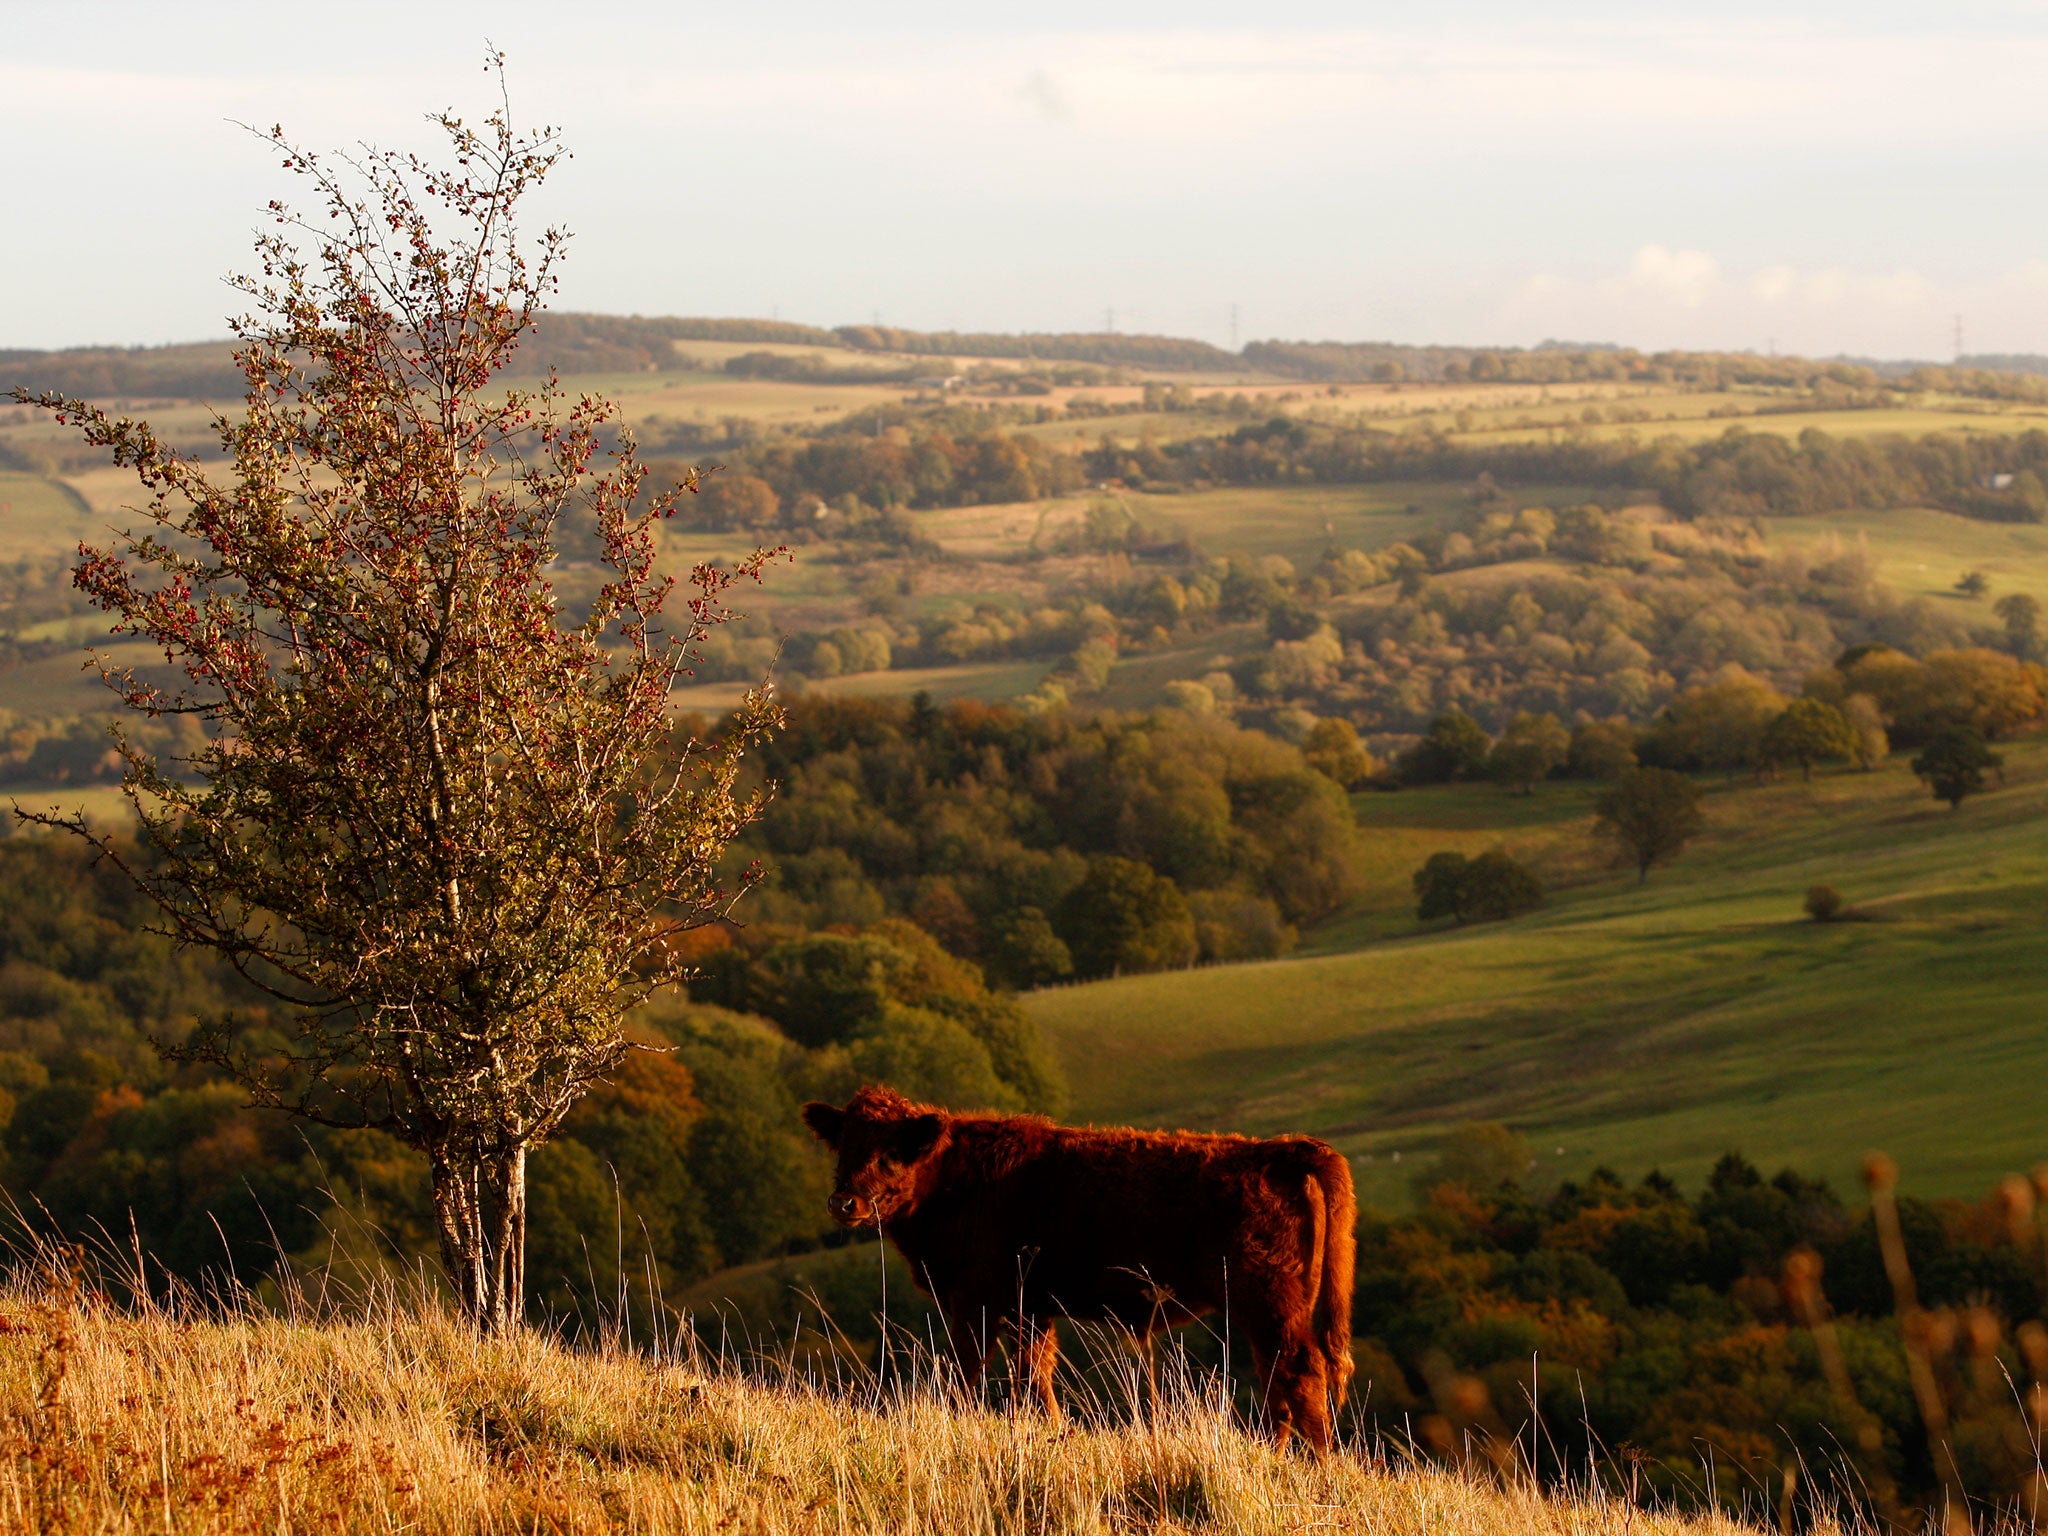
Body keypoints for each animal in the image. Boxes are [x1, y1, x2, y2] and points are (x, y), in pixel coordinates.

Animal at [802, 1081, 1359, 1458]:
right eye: (844, 1145)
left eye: (892, 1153)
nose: (844, 1202)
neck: (955, 1178)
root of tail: (1279, 1151)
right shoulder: (1030, 1307)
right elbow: (1034, 1376)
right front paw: (1052, 1431)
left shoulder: (976, 1301)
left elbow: (969, 1370)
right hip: (1268, 1310)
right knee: (1278, 1376)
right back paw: (1273, 1453)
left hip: (1267, 1301)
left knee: (1299, 1370)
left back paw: (1315, 1460)